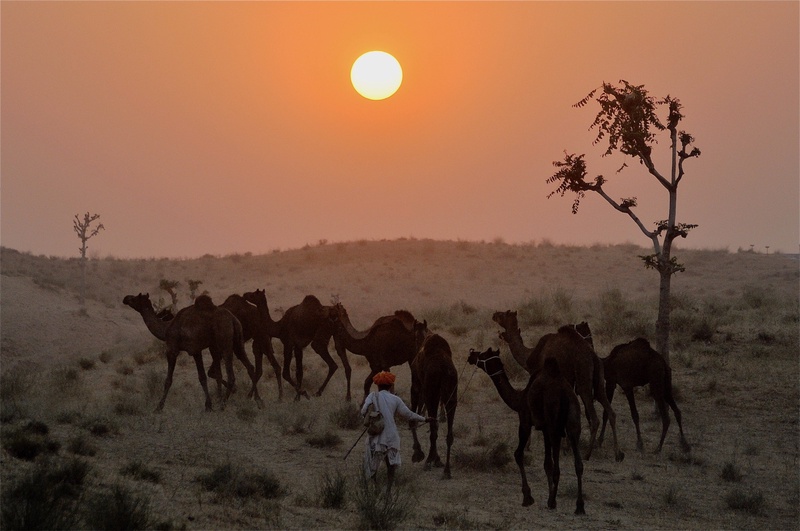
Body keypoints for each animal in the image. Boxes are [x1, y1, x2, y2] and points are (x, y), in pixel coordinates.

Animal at [122, 293, 255, 412]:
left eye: (136, 297)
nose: (125, 298)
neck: (166, 329)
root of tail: (233, 320)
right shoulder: (196, 351)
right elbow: (202, 377)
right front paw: (208, 406)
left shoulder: (173, 349)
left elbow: (168, 380)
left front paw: (158, 407)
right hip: (237, 341)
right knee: (248, 365)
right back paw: (251, 398)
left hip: (224, 341)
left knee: (231, 374)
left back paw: (223, 405)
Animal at [409, 330, 457, 478]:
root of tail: (444, 369)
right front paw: (437, 459)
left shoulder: (416, 386)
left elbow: (412, 420)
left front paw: (418, 453)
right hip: (451, 395)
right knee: (448, 434)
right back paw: (447, 470)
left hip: (432, 394)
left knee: (433, 427)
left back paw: (429, 461)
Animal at [468, 347, 585, 514]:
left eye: (483, 354)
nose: (471, 355)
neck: (520, 397)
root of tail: (564, 393)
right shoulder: (543, 428)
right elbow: (547, 464)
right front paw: (547, 495)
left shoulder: (525, 421)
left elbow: (518, 454)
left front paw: (528, 497)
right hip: (573, 420)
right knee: (578, 463)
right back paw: (579, 505)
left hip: (554, 422)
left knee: (558, 466)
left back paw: (553, 502)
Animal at [492, 310, 624, 461]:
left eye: (503, 314)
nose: (494, 314)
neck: (530, 356)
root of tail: (592, 356)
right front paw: (566, 446)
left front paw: (529, 446)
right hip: (598, 379)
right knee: (610, 410)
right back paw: (617, 453)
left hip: (583, 376)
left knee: (594, 417)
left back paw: (587, 454)